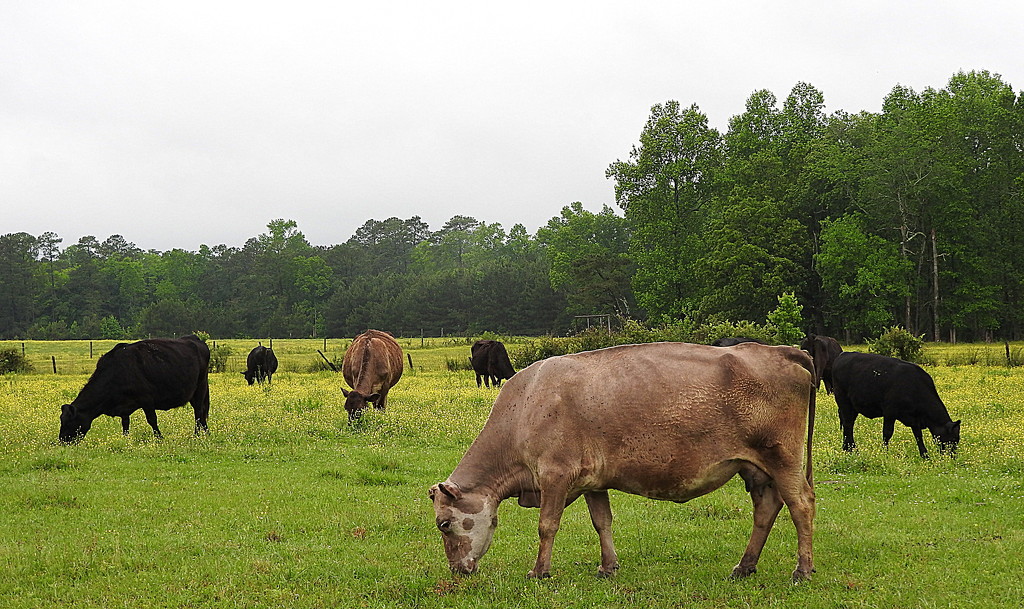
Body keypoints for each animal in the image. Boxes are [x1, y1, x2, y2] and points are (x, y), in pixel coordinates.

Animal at [58, 335, 211, 446]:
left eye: (69, 422)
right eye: (61, 420)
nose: (62, 442)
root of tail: (195, 339)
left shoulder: (147, 399)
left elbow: (152, 420)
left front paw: (159, 438)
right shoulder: (124, 406)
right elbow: (125, 424)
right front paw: (125, 439)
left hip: (200, 388)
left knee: (199, 412)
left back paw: (197, 435)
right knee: (201, 412)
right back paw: (206, 433)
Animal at [428, 339, 819, 585]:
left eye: (444, 525)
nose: (456, 570)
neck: (526, 404)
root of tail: (783, 350)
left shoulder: (555, 474)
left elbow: (547, 525)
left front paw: (539, 571)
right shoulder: (592, 480)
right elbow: (602, 522)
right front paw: (608, 567)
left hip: (783, 458)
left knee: (801, 504)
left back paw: (801, 571)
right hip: (756, 469)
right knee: (766, 509)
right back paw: (745, 566)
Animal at [798, 335, 958, 460]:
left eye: (957, 439)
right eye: (953, 439)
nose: (952, 457)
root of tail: (843, 356)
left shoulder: (914, 418)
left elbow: (918, 435)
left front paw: (924, 455)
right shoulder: (890, 412)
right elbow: (887, 433)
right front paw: (885, 453)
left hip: (853, 406)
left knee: (848, 424)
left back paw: (848, 448)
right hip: (843, 401)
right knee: (848, 424)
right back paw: (851, 449)